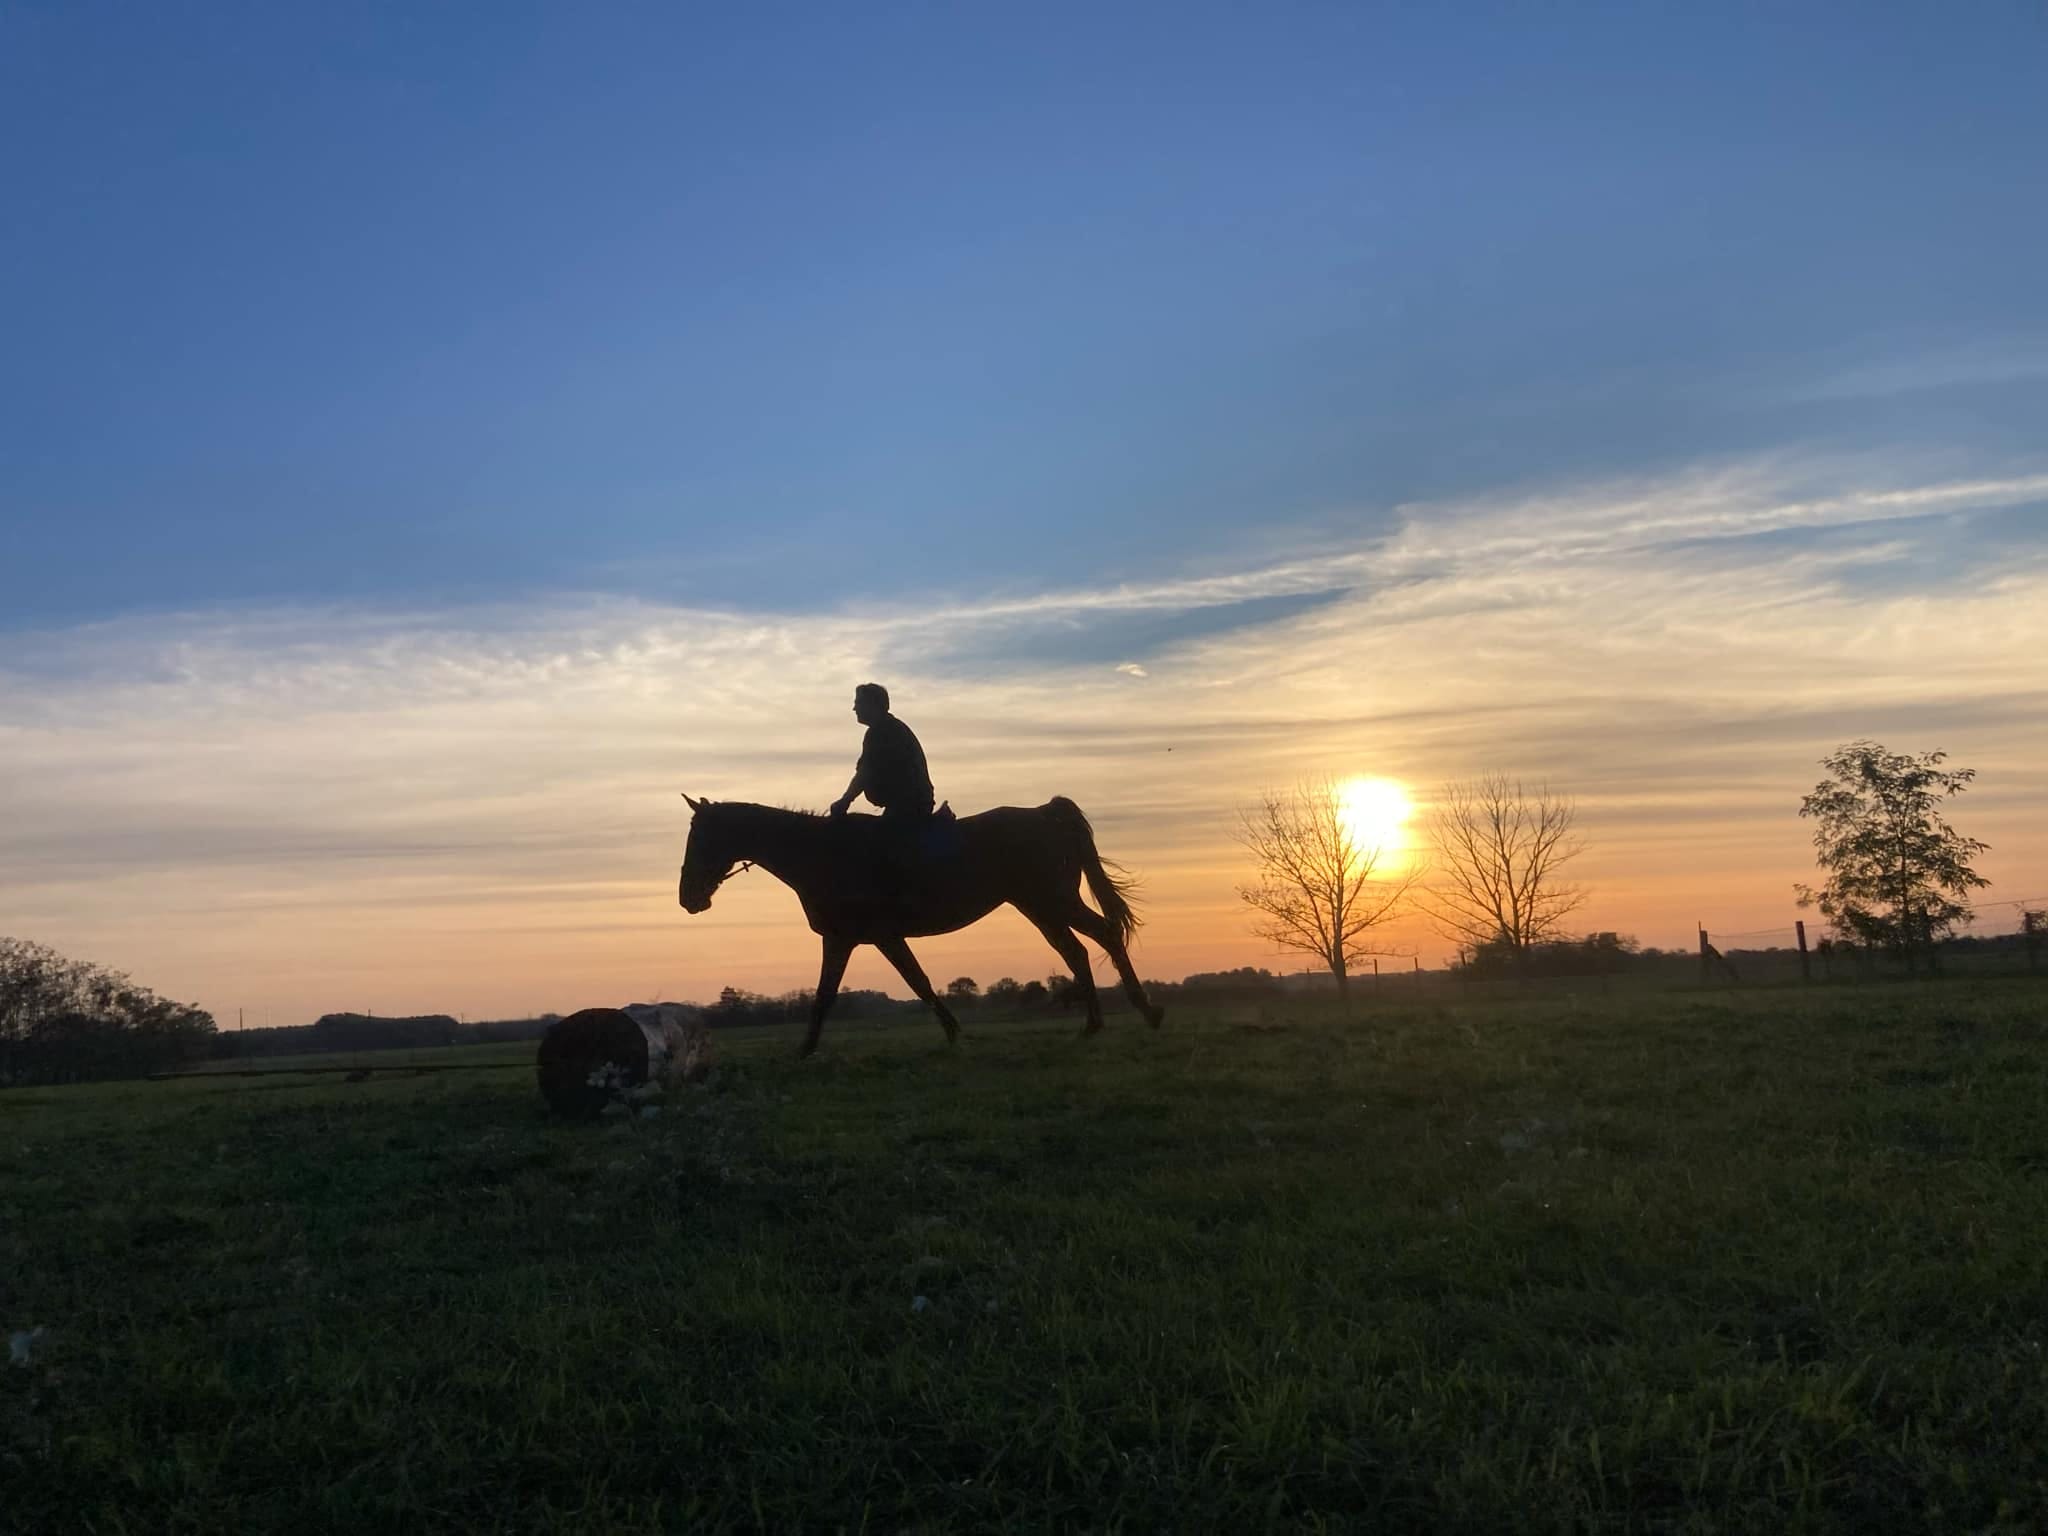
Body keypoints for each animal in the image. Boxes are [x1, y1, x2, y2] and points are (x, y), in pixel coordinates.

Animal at [684, 794, 1171, 1056]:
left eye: (701, 838)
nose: (688, 898)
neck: (821, 854)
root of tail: (1043, 813)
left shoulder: (854, 938)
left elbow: (835, 995)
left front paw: (804, 1049)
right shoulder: (872, 938)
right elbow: (913, 982)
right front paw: (954, 1030)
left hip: (1052, 901)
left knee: (1104, 935)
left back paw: (1147, 1012)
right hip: (1040, 907)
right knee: (1076, 952)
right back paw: (1093, 1024)